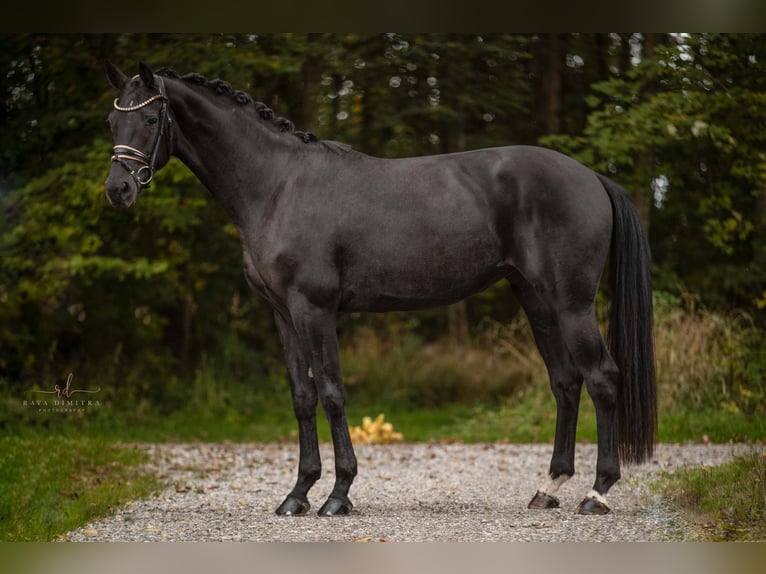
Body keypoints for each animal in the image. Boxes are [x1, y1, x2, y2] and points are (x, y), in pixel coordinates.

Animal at [102, 62, 656, 516]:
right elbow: (301, 396)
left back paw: (598, 492)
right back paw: (550, 488)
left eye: (150, 121)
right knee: (565, 382)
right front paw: (297, 494)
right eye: (112, 122)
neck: (277, 186)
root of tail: (592, 177)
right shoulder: (282, 314)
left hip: (571, 304)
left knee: (602, 378)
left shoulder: (314, 310)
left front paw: (338, 495)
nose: (118, 190)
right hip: (536, 300)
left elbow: (331, 393)